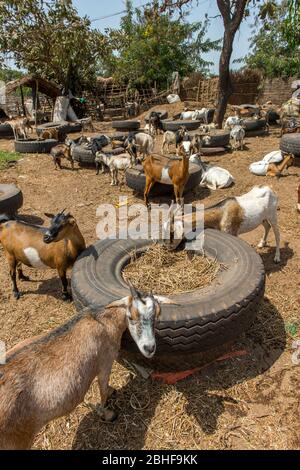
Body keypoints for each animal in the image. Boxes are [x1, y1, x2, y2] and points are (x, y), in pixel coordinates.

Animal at [0, 280, 177, 450]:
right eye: (131, 316)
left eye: (156, 316)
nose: (149, 348)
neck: (102, 320)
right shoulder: (105, 363)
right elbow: (103, 390)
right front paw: (108, 412)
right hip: (18, 440)